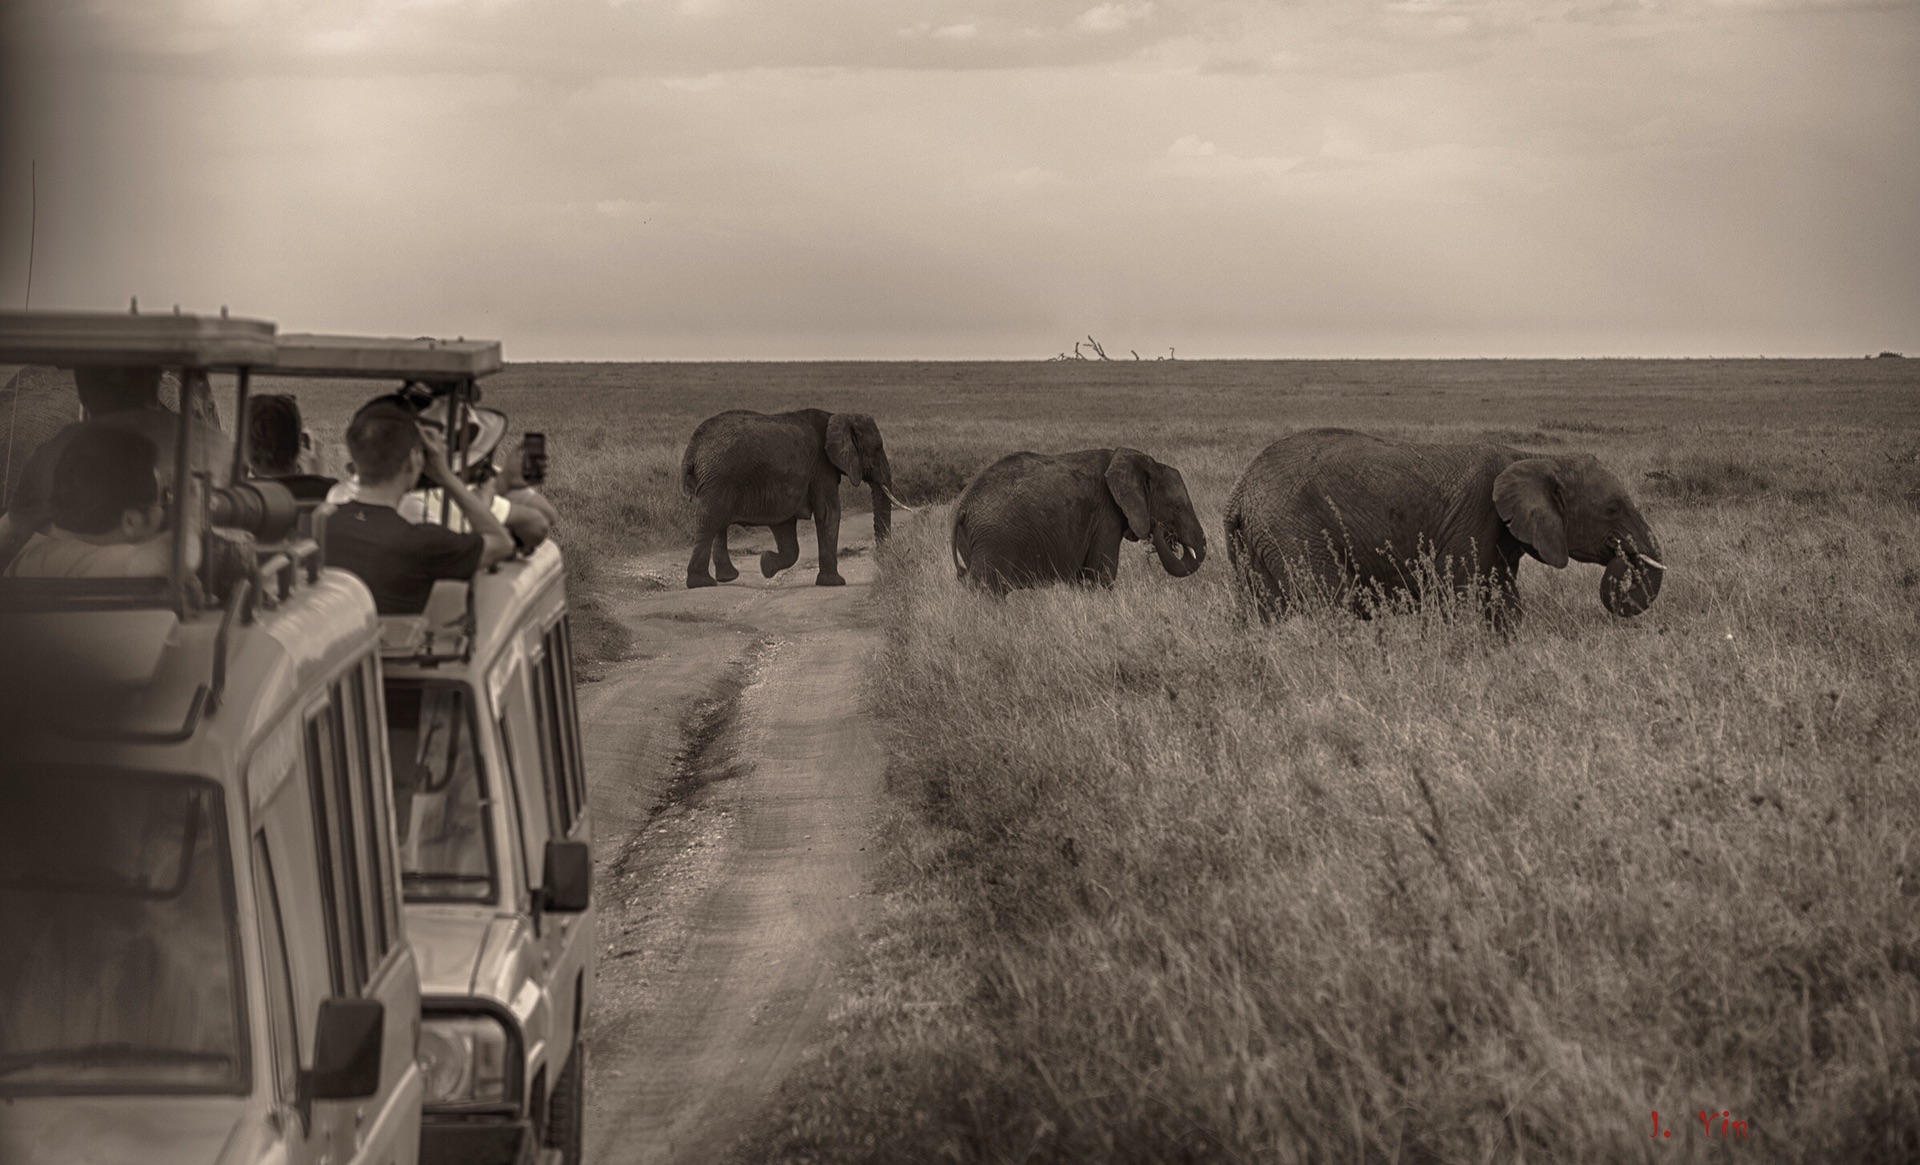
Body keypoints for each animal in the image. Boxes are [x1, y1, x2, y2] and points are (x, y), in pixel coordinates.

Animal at [683, 410, 906, 591]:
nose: (881, 559)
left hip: (716, 481)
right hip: (719, 479)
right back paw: (702, 583)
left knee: (718, 523)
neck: (837, 416)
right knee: (710, 520)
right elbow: (829, 513)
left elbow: (787, 530)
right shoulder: (821, 467)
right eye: (877, 448)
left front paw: (765, 565)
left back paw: (726, 578)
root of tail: (692, 449)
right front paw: (834, 583)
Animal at [952, 447, 1205, 591]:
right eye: (1178, 507)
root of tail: (961, 506)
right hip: (992, 539)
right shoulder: (1106, 516)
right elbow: (1101, 574)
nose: (1160, 529)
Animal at [1228, 427, 1666, 625]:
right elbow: (1458, 592)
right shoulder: (1475, 516)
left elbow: (1503, 598)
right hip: (1292, 529)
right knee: (1332, 603)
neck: (1534, 457)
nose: (1622, 554)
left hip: (1257, 541)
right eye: (1612, 508)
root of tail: (1239, 490)